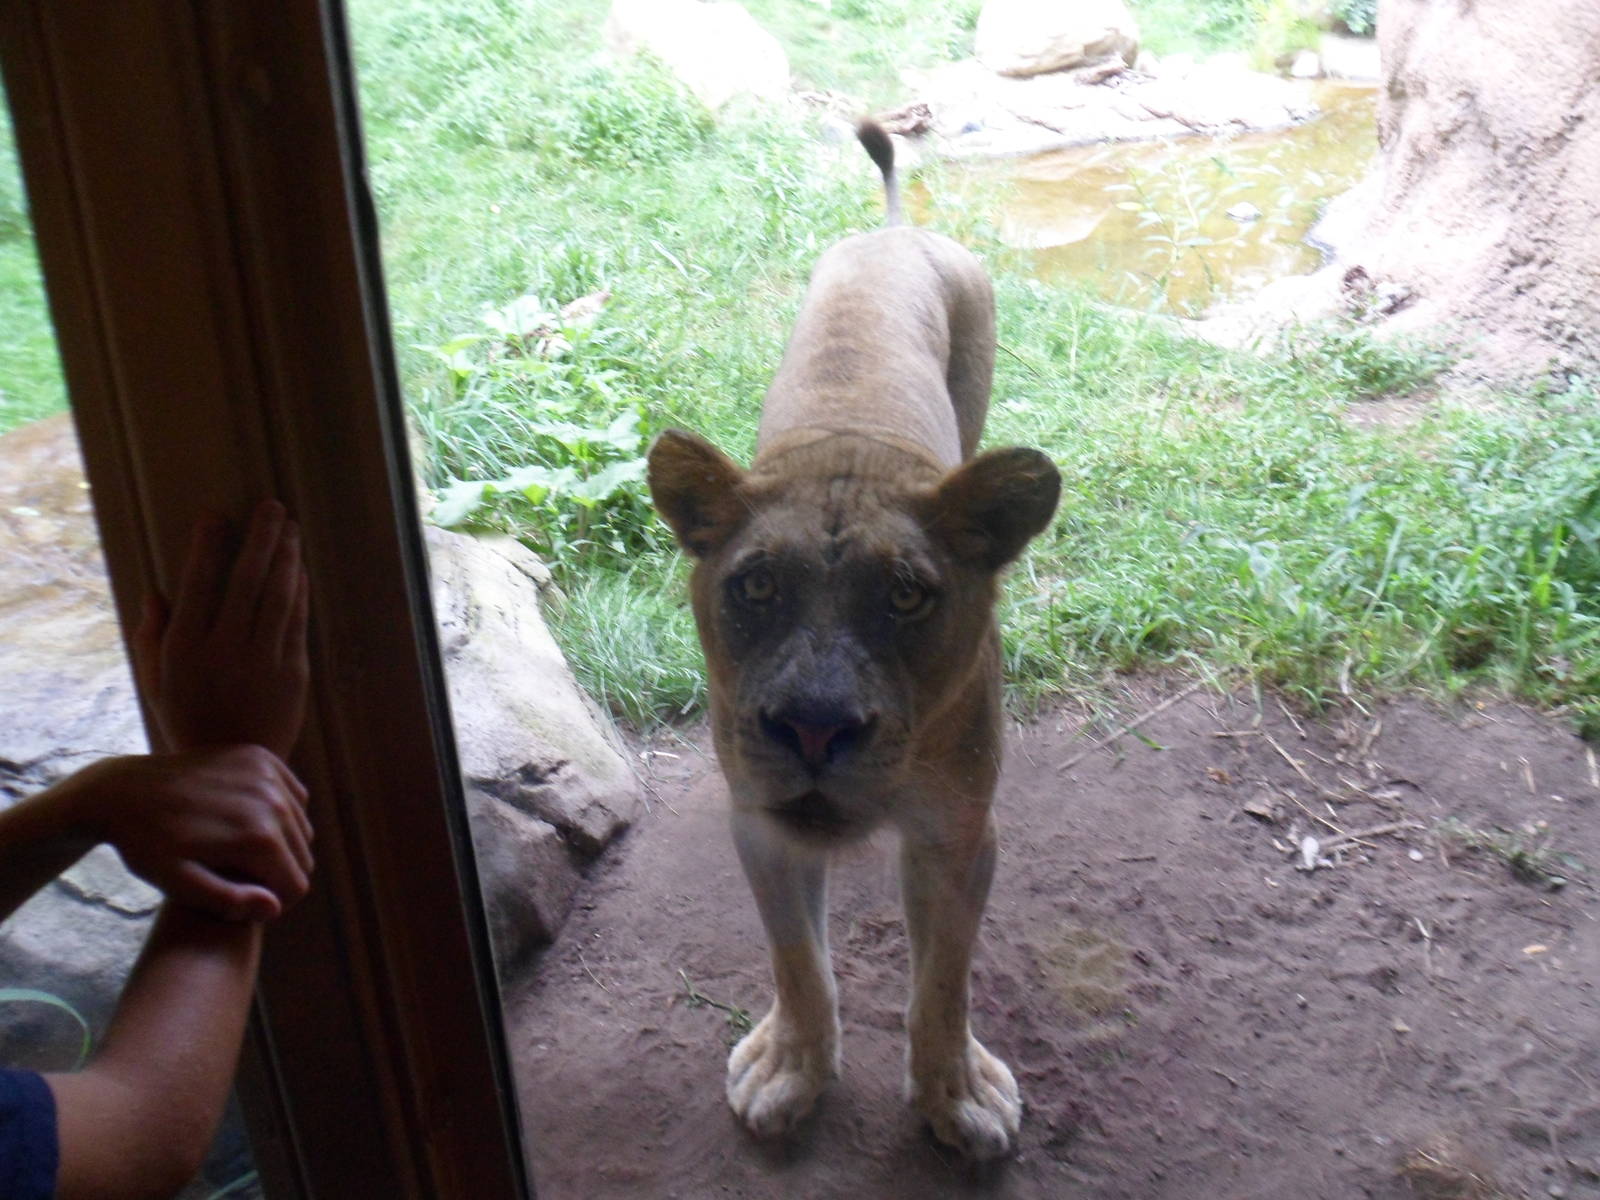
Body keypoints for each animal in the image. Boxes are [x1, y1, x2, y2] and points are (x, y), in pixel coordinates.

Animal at [646, 119, 1060, 1160]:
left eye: (906, 596)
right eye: (755, 585)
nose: (812, 728)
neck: (849, 449)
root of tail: (895, 232)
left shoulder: (959, 829)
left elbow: (943, 978)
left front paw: (956, 1094)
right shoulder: (761, 818)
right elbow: (798, 957)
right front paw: (790, 1071)